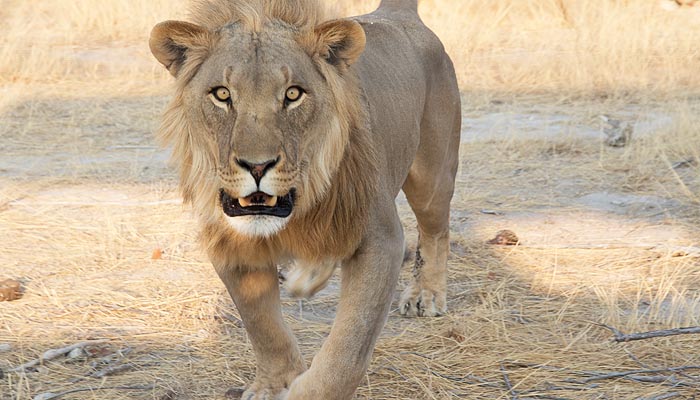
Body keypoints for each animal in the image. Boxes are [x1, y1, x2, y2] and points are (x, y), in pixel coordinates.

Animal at [150, 0, 462, 396]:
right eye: (222, 94)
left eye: (293, 94)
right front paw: (273, 385)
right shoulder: (228, 243)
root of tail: (397, 14)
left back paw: (426, 295)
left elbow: (349, 347)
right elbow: (262, 324)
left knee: (436, 232)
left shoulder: (381, 239)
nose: (257, 166)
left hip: (431, 178)